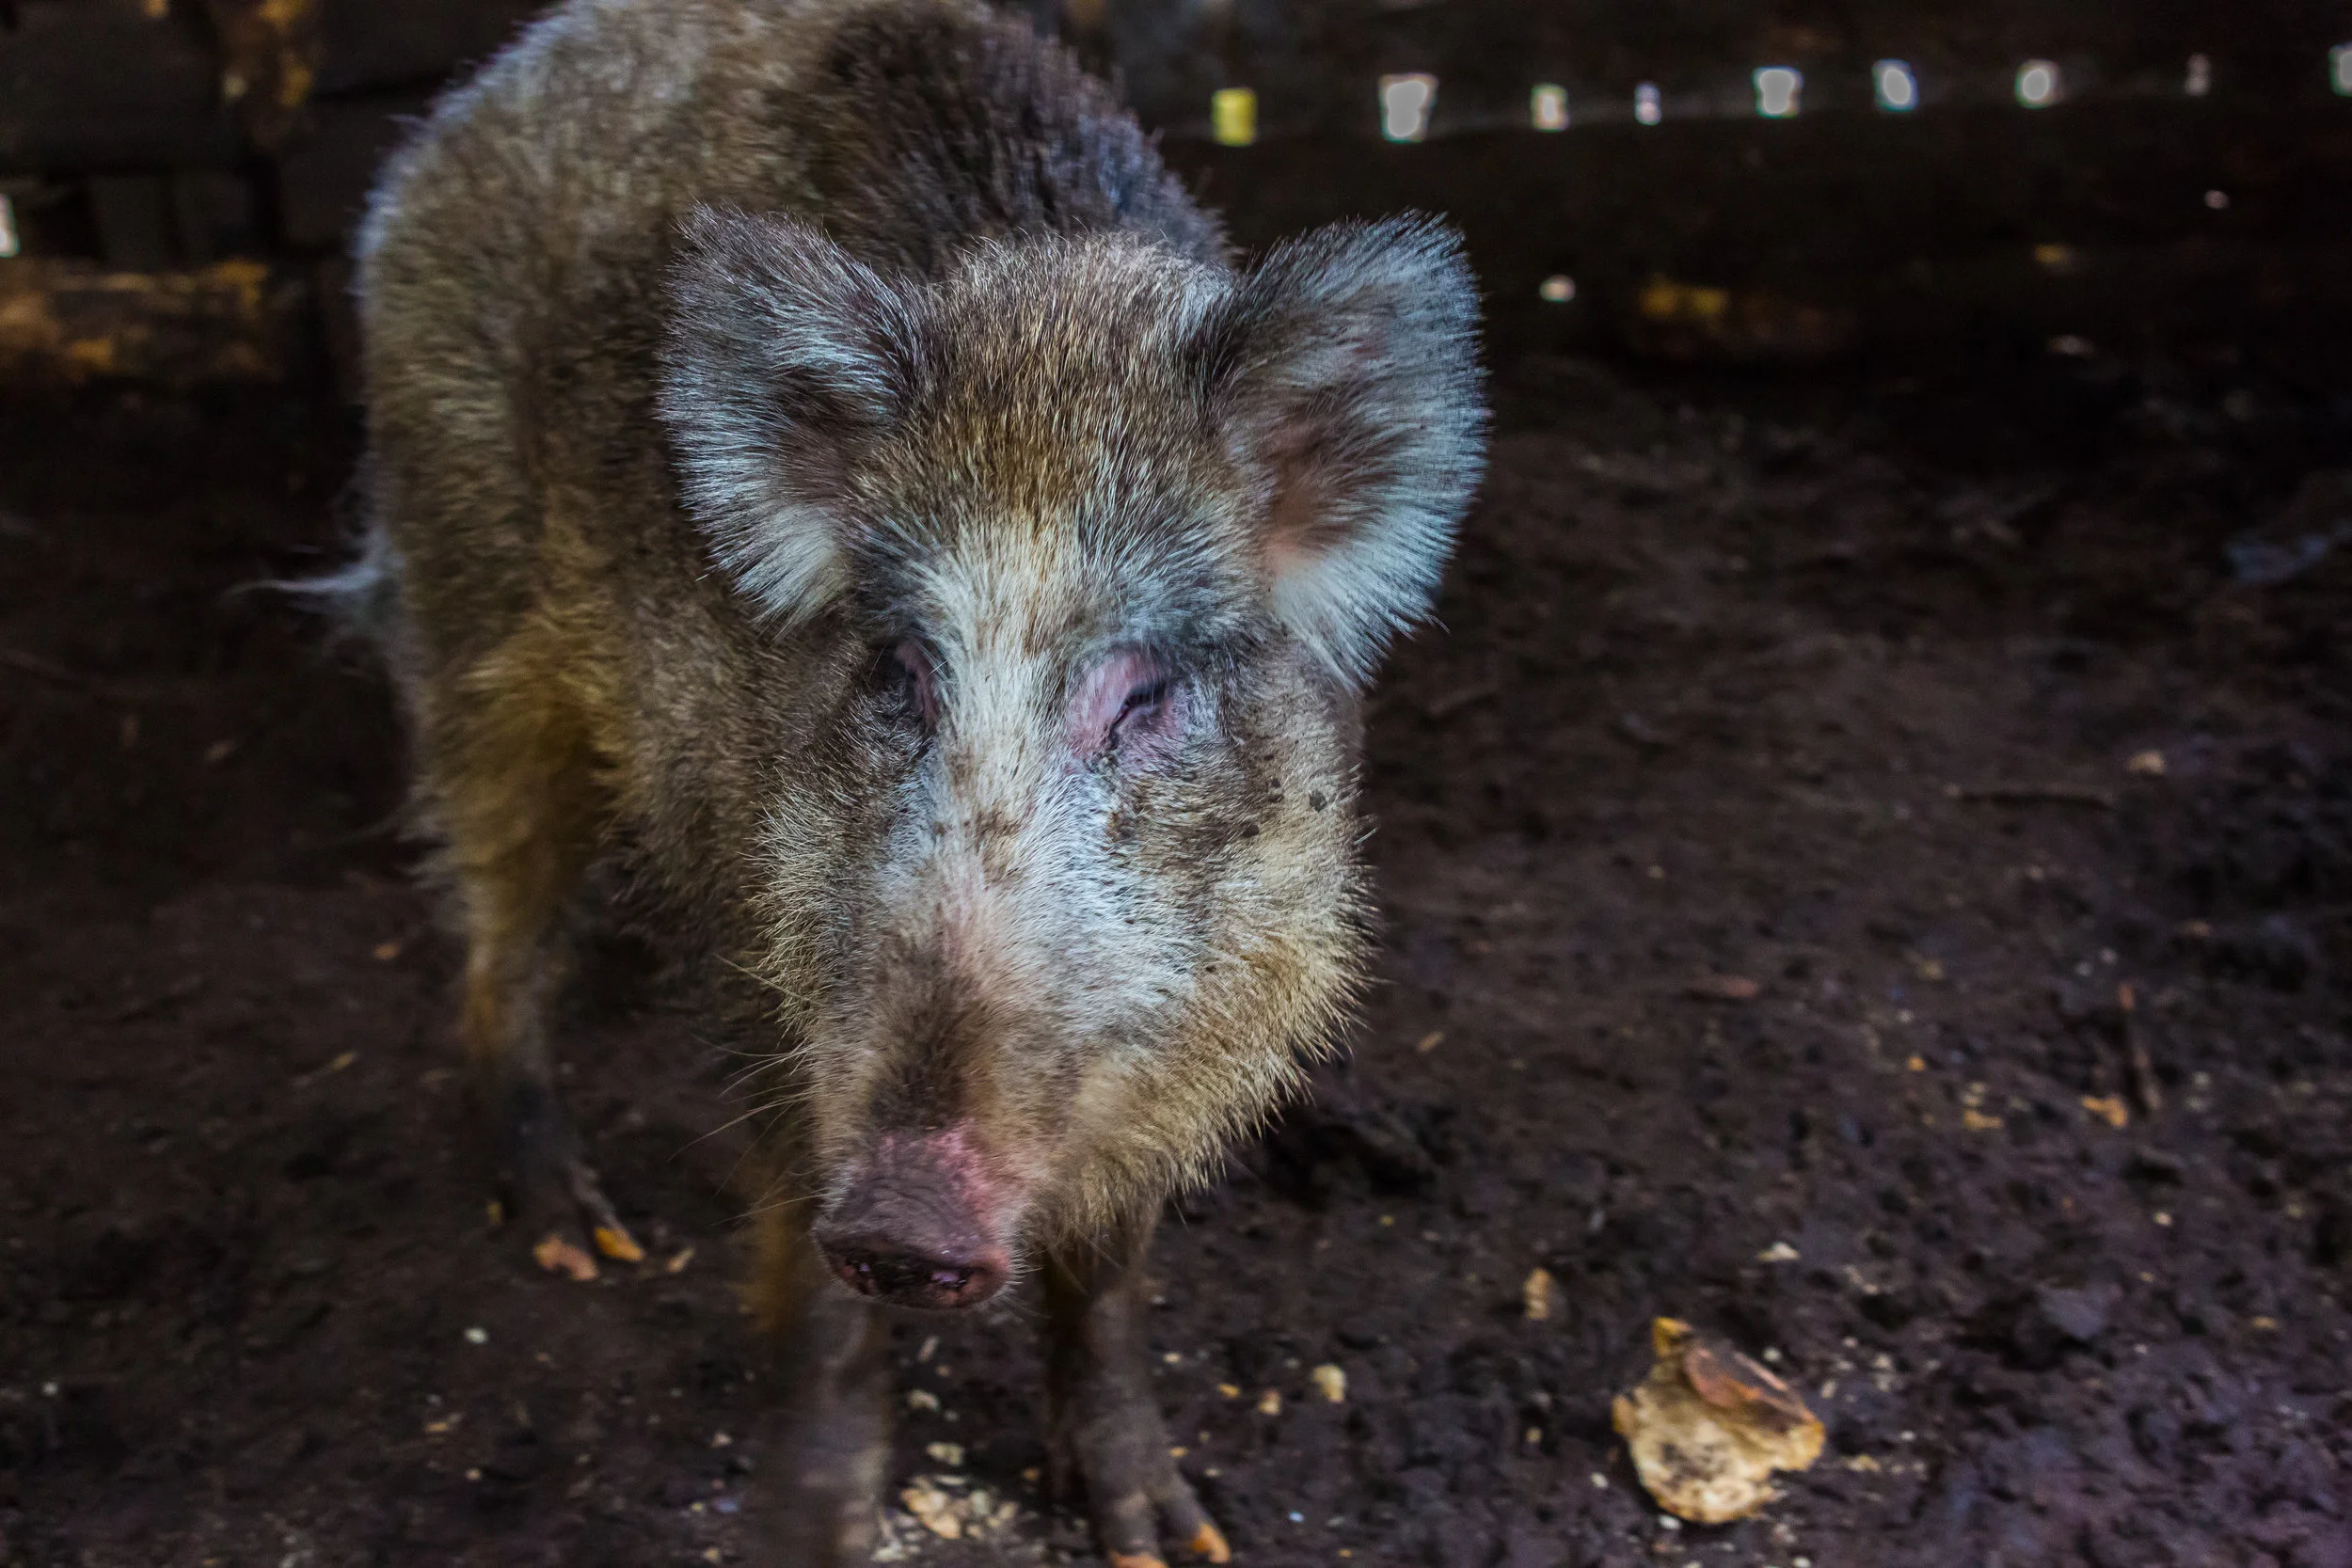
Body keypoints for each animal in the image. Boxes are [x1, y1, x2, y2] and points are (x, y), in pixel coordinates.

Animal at [346, 0, 1484, 1559]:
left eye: (1145, 693)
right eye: (894, 665)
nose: (904, 1217)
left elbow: (1107, 1277)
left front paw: (1165, 1529)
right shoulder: (755, 958)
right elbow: (807, 1267)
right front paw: (818, 1524)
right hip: (465, 596)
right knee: (494, 922)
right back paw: (580, 1236)